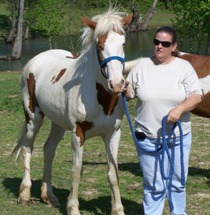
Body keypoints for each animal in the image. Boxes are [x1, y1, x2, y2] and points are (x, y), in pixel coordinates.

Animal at [11, 8, 132, 215]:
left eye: (123, 44)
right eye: (99, 46)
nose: (117, 84)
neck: (99, 97)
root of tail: (36, 59)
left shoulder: (113, 133)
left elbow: (113, 173)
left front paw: (118, 210)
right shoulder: (78, 133)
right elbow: (76, 171)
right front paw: (73, 208)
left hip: (58, 123)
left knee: (48, 150)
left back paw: (49, 196)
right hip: (33, 118)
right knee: (28, 148)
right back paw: (25, 195)